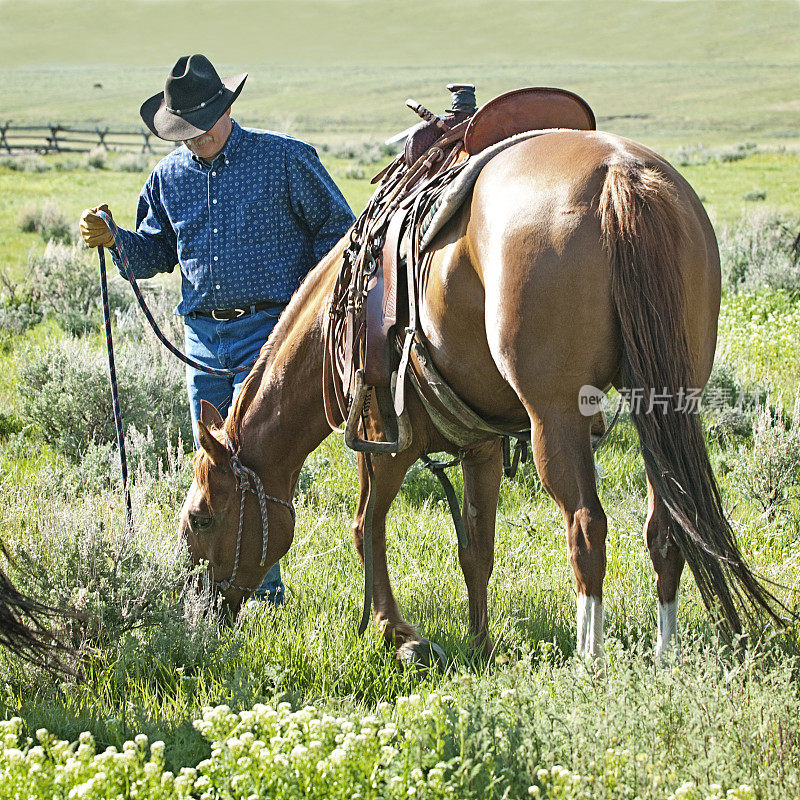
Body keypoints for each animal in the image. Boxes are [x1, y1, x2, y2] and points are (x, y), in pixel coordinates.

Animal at [180, 131, 780, 664]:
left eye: (202, 518)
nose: (201, 611)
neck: (343, 313)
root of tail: (621, 175)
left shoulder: (383, 441)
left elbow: (366, 528)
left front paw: (400, 635)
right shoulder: (482, 444)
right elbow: (476, 548)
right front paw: (479, 644)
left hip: (555, 419)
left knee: (586, 526)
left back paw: (590, 659)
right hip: (664, 403)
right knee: (667, 526)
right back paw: (665, 655)